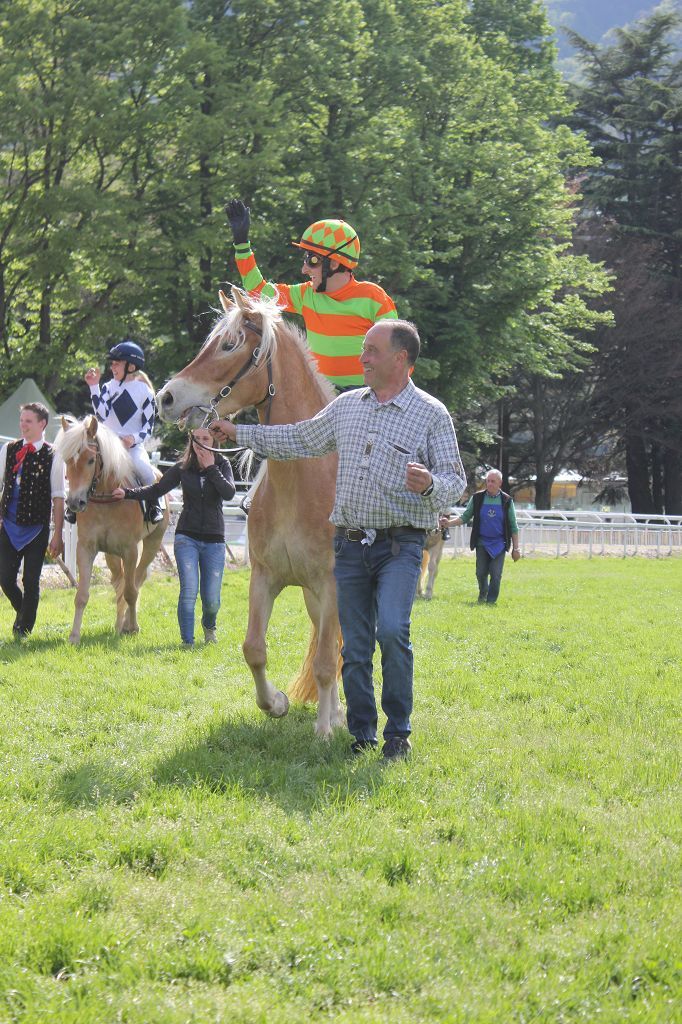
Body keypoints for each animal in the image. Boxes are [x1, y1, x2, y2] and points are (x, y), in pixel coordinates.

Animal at [55, 416, 170, 644]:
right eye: (68, 460)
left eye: (91, 460)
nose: (74, 503)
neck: (106, 499)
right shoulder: (86, 548)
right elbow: (82, 595)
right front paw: (74, 636)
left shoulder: (130, 550)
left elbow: (131, 591)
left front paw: (133, 627)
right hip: (111, 555)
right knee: (119, 582)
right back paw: (119, 624)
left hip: (152, 544)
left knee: (136, 580)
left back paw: (126, 624)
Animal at [156, 287, 345, 738]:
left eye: (229, 344)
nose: (166, 397)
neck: (302, 481)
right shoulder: (265, 578)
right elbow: (254, 649)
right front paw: (276, 702)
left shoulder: (332, 586)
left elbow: (325, 662)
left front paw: (324, 729)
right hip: (312, 598)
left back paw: (335, 716)